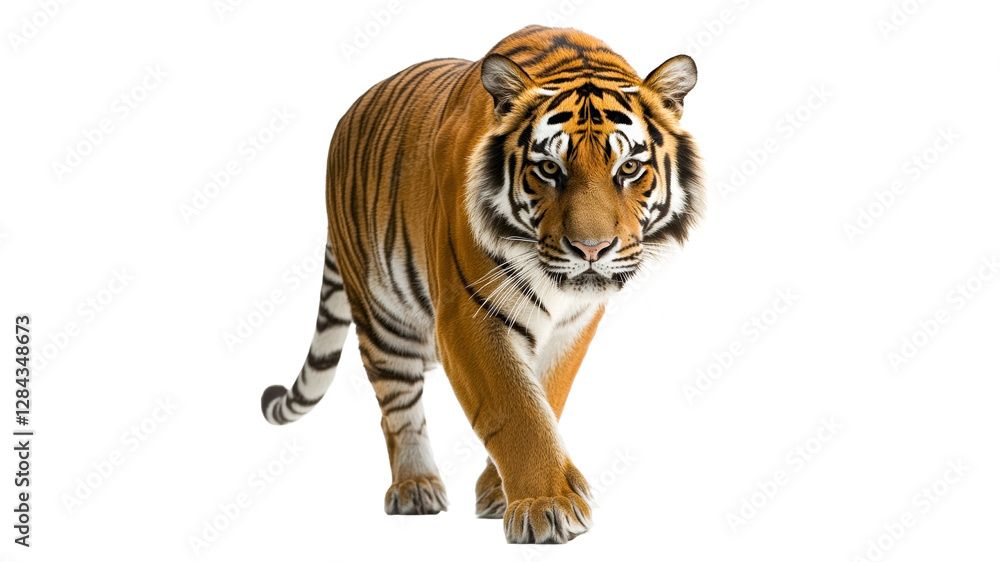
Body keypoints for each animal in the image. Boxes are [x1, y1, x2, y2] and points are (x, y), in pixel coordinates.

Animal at [260, 25, 704, 544]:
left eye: (629, 169)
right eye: (549, 169)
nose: (591, 250)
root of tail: (349, 113)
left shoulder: (575, 324)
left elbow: (546, 397)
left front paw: (503, 493)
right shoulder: (469, 315)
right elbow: (515, 409)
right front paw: (547, 505)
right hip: (382, 316)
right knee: (397, 404)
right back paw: (415, 487)